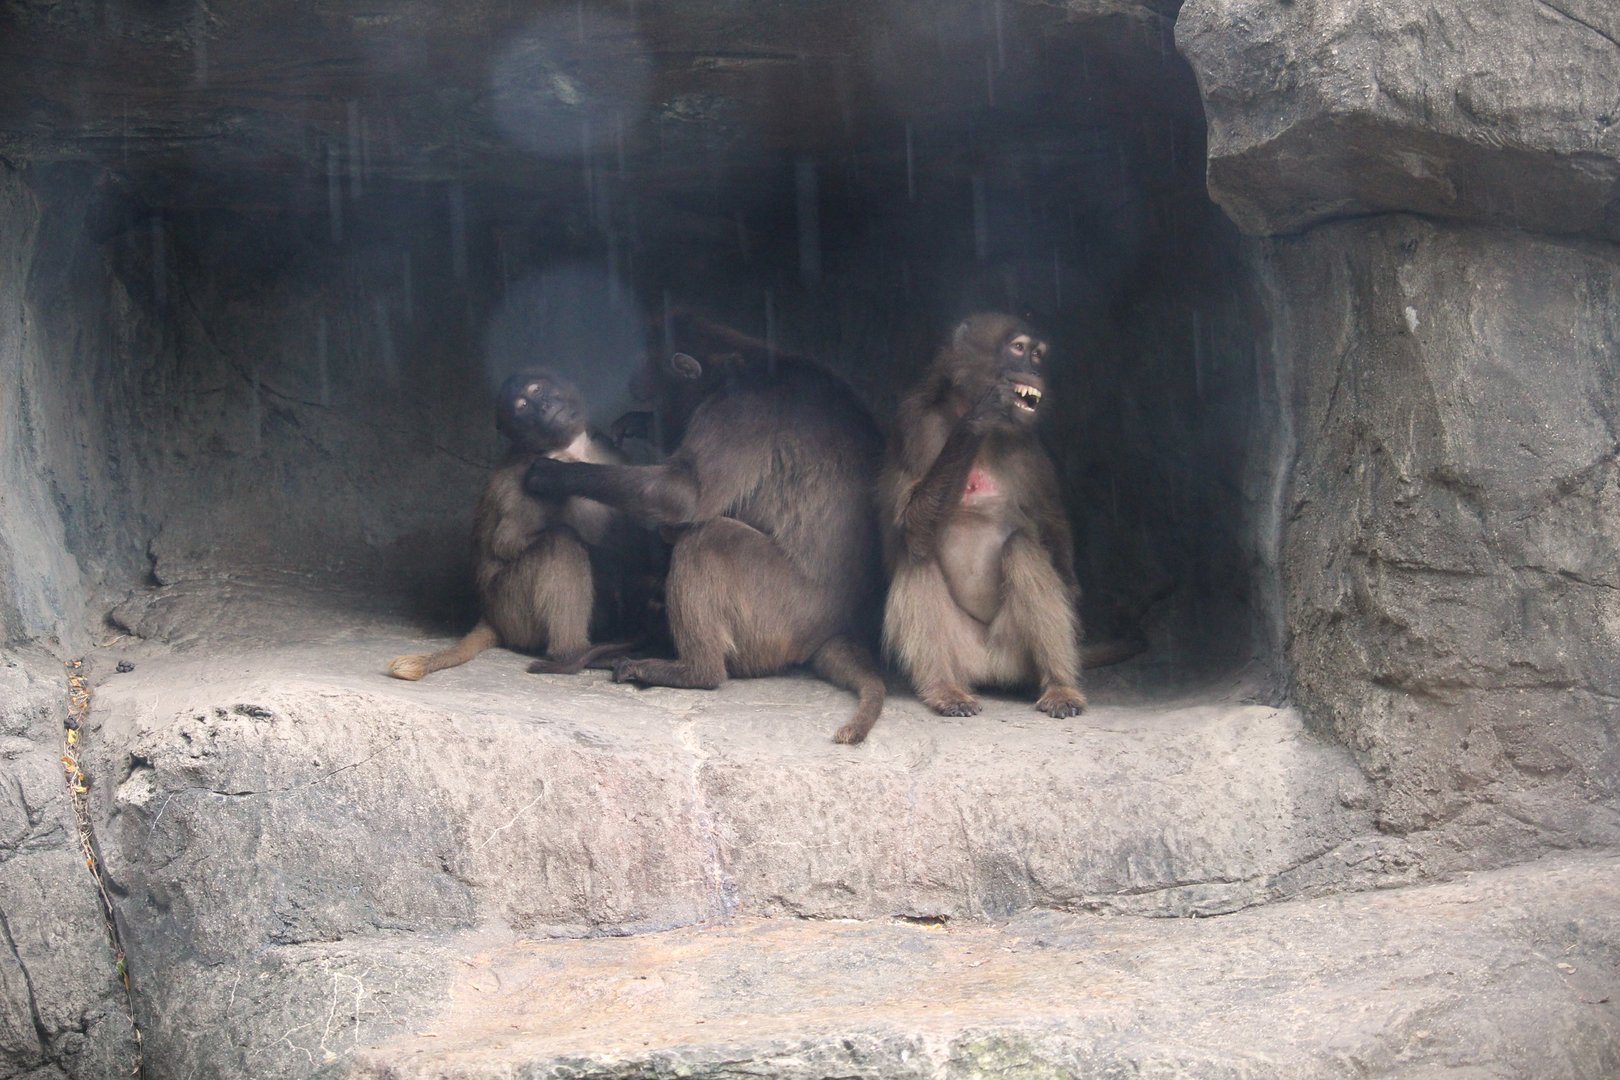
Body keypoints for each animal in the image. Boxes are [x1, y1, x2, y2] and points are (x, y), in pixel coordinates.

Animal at [388, 368, 655, 681]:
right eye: (523, 406)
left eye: (537, 390)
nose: (544, 406)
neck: (569, 450)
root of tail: (490, 615)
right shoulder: (527, 473)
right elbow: (506, 543)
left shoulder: (604, 449)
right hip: (510, 606)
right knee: (560, 541)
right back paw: (572, 655)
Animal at [523, 312, 888, 745]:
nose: (659, 413)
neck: (744, 360)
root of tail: (836, 626)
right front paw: (641, 424)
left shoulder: (740, 407)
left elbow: (684, 496)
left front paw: (556, 475)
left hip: (784, 615)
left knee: (707, 538)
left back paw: (693, 671)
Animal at [879, 312, 1089, 719]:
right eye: (1019, 348)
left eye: (1038, 355)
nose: (1033, 370)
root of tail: (989, 669)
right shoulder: (915, 425)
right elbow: (910, 526)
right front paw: (978, 419)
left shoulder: (1030, 448)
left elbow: (1050, 520)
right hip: (962, 650)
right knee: (918, 558)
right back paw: (944, 690)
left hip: (1013, 653)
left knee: (1022, 547)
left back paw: (1059, 686)